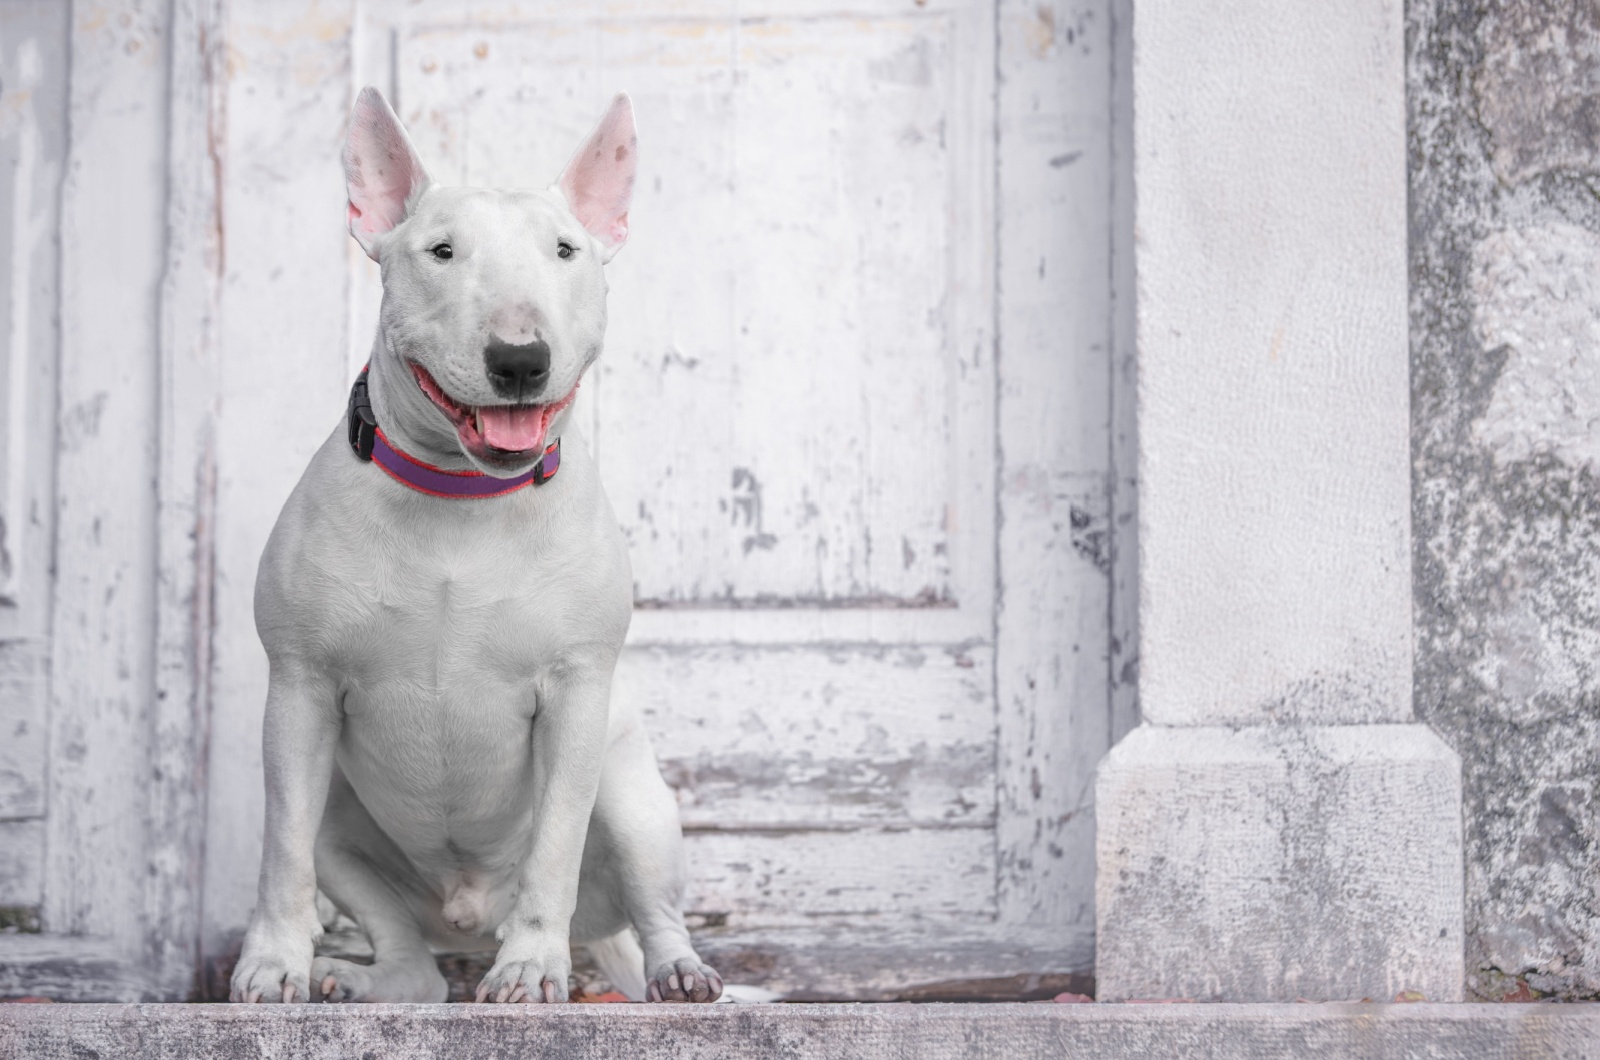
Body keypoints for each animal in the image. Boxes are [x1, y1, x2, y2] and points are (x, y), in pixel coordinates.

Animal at [224, 89, 720, 1005]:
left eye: (564, 250)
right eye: (441, 251)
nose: (519, 360)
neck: (462, 498)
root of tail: (466, 915)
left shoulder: (575, 696)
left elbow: (554, 849)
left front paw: (530, 969)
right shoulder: (299, 689)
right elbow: (281, 850)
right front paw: (272, 965)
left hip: (632, 798)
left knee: (651, 907)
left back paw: (677, 973)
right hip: (343, 824)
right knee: (411, 966)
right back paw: (351, 980)